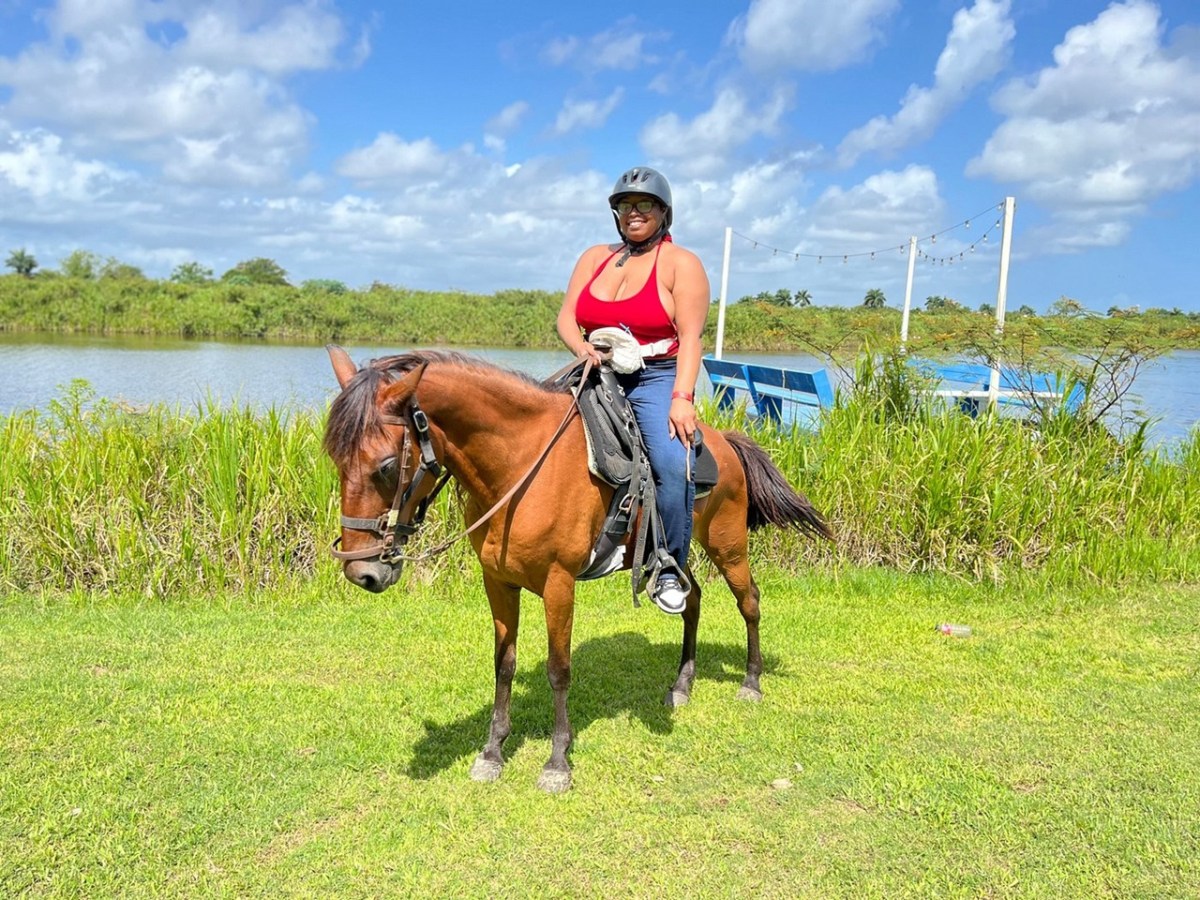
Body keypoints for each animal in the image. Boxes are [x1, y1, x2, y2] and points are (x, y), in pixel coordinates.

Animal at [322, 346, 830, 792]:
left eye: (387, 466)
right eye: (335, 459)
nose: (362, 573)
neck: (519, 466)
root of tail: (726, 440)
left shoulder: (559, 584)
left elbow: (558, 669)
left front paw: (556, 762)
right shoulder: (497, 582)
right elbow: (504, 664)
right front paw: (492, 752)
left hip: (728, 546)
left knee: (749, 602)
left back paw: (751, 681)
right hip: (676, 551)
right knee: (692, 601)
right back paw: (682, 684)